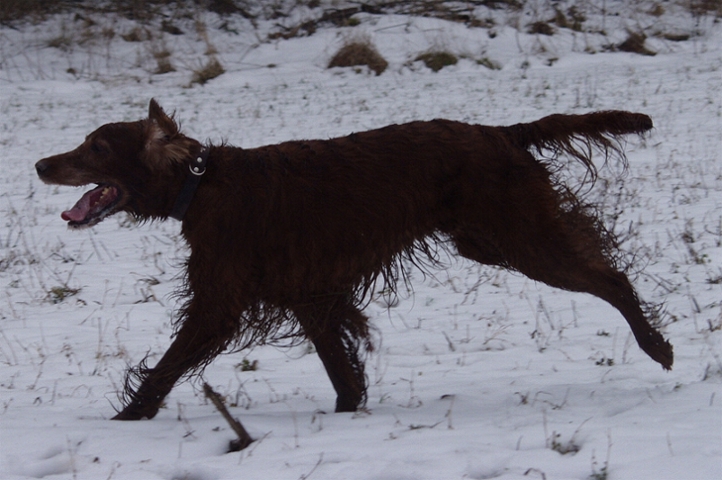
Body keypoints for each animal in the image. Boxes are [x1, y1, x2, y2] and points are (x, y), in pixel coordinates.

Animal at [35, 101, 668, 420]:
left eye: (97, 147)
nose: (41, 164)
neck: (200, 184)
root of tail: (502, 133)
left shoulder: (219, 304)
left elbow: (165, 367)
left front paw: (127, 421)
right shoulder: (310, 296)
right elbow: (340, 368)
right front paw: (349, 413)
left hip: (520, 237)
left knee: (612, 276)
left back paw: (657, 345)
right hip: (489, 240)